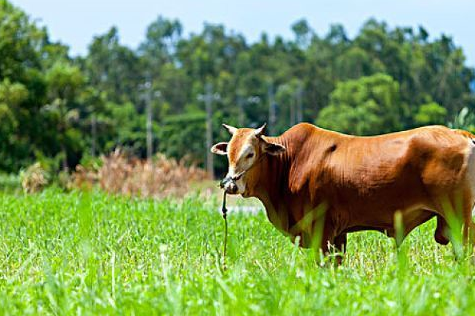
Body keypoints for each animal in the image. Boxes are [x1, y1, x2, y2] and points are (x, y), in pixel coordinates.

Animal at [211, 122, 475, 258]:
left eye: (250, 153)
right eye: (229, 153)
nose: (230, 184)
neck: (290, 162)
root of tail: (460, 133)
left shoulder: (322, 230)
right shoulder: (338, 235)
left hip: (459, 219)